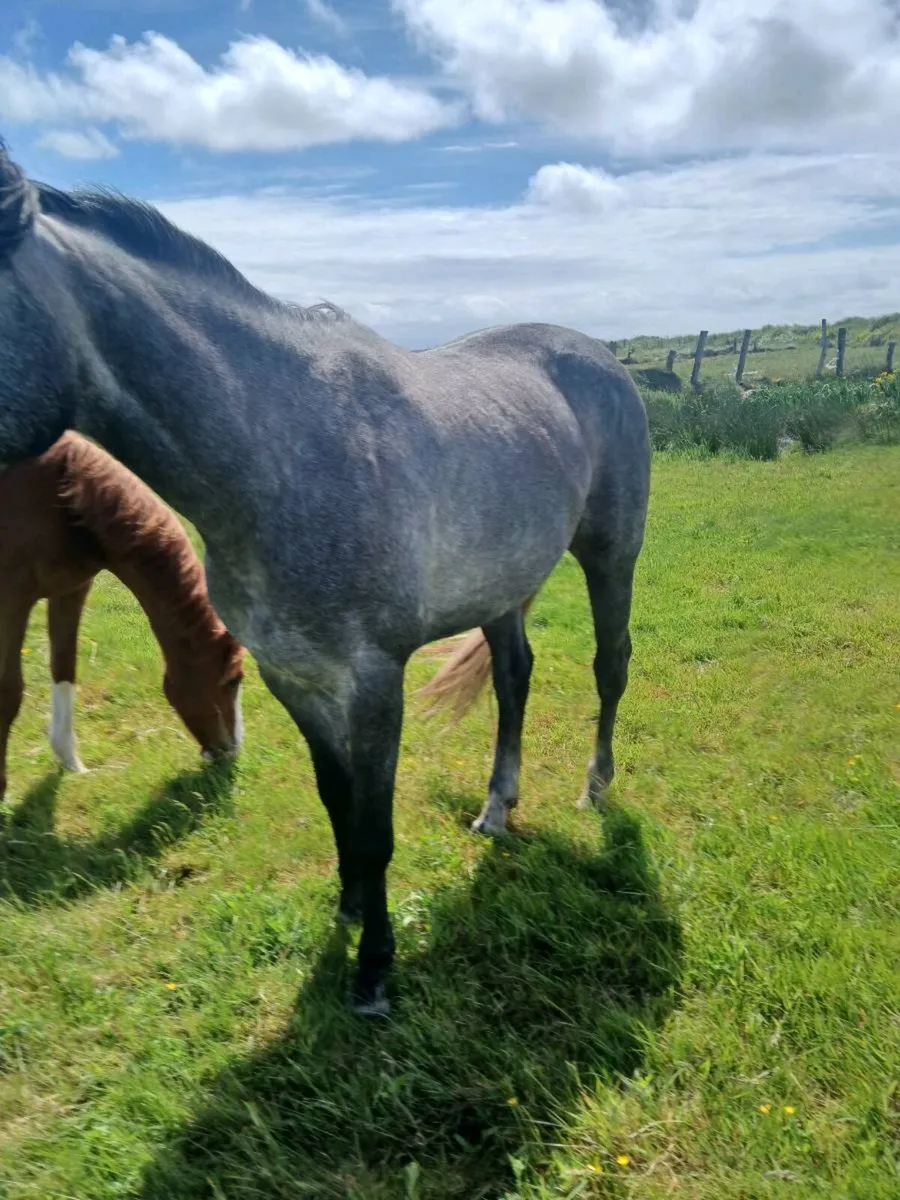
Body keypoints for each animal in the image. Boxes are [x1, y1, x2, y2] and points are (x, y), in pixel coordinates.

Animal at [0, 431, 245, 801]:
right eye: (233, 680)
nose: (232, 752)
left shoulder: (70, 589)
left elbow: (64, 667)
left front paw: (70, 760)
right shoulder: (11, 600)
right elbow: (9, 692)